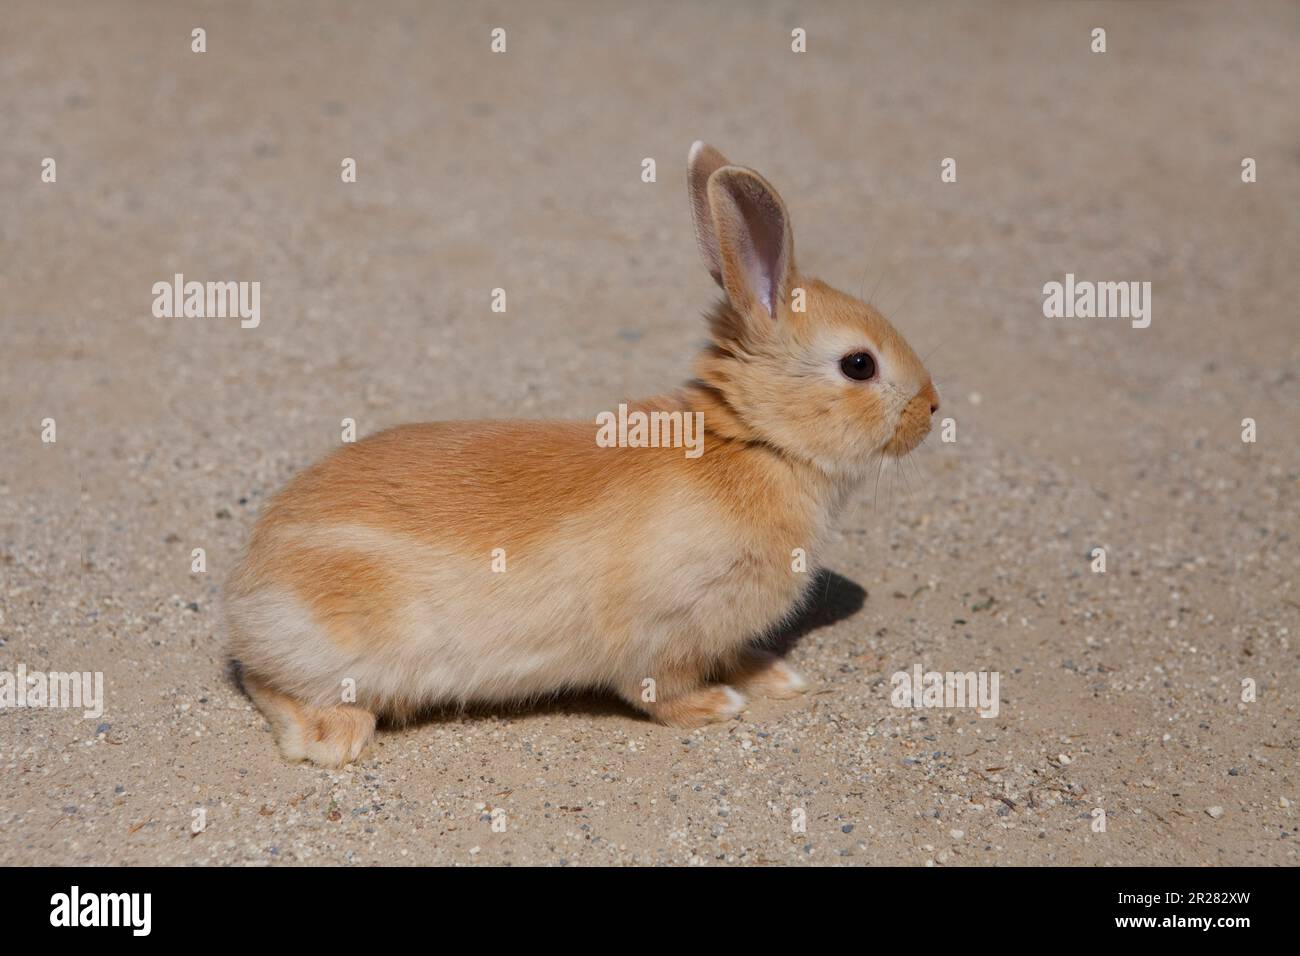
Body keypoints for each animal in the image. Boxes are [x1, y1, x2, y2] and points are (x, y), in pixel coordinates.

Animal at [225, 142, 939, 766]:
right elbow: (660, 690)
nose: (932, 409)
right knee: (270, 686)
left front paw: (777, 678)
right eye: (858, 365)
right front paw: (717, 707)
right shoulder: (661, 629)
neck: (754, 442)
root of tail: (249, 592)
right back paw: (332, 739)